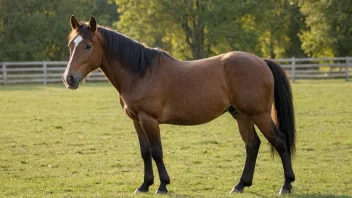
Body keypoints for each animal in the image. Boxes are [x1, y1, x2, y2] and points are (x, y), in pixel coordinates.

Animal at [63, 15, 296, 195]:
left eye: (88, 46)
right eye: (70, 45)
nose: (69, 78)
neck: (141, 73)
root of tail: (261, 61)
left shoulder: (149, 119)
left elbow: (156, 151)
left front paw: (162, 185)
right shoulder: (137, 121)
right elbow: (145, 152)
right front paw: (144, 185)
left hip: (260, 115)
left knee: (280, 141)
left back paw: (286, 185)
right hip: (241, 115)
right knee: (252, 145)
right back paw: (240, 185)